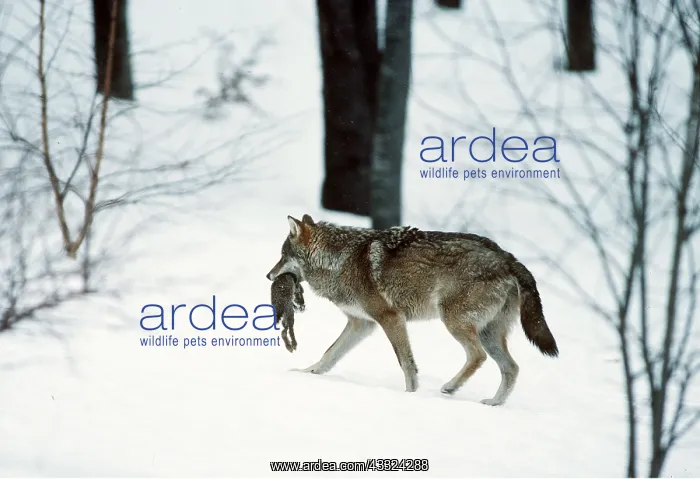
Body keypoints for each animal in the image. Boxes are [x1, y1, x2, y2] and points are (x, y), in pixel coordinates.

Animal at [266, 214, 558, 406]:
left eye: (282, 256)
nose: (268, 276)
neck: (339, 260)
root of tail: (508, 258)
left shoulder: (391, 319)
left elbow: (406, 364)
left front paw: (410, 396)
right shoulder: (361, 324)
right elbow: (329, 354)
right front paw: (307, 374)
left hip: (454, 321)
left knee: (478, 357)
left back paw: (450, 387)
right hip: (488, 333)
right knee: (512, 368)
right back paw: (493, 403)